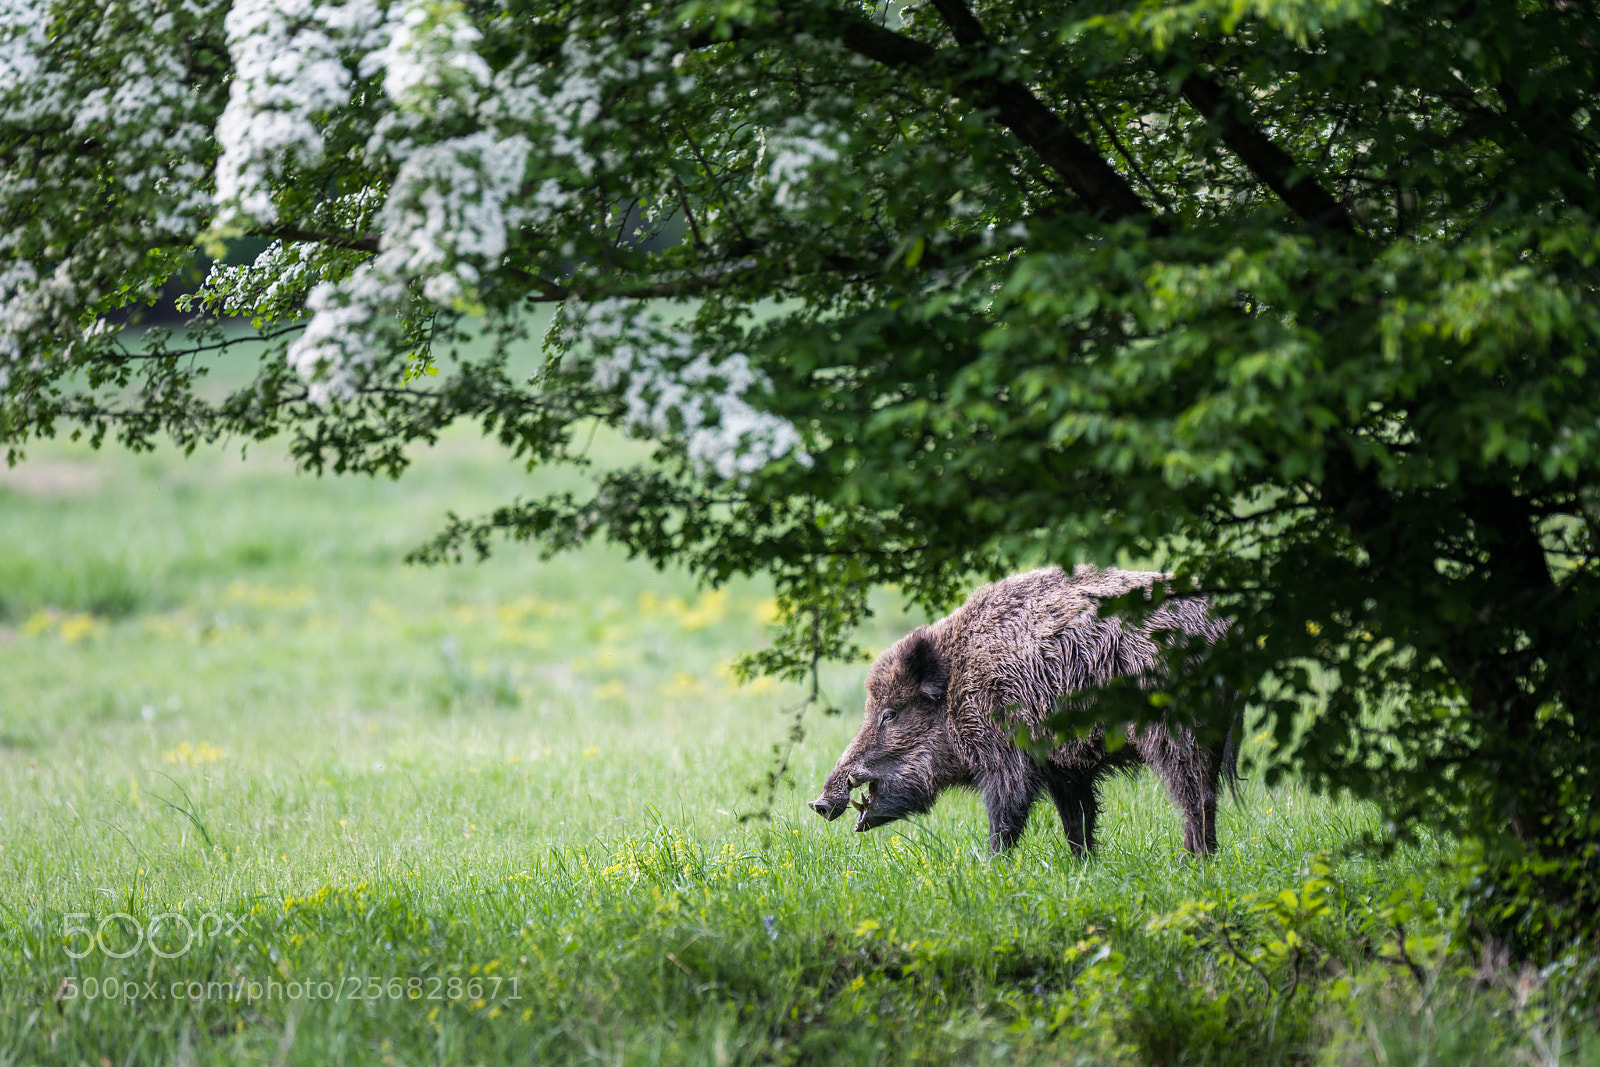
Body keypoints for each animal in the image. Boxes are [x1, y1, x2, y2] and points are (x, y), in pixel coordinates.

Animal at [808, 566, 1236, 855]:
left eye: (890, 714)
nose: (819, 803)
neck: (959, 688)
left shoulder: (1006, 760)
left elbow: (1006, 818)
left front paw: (992, 868)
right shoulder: (1065, 768)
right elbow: (1077, 821)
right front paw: (1083, 868)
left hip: (1176, 733)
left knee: (1195, 797)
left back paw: (1190, 864)